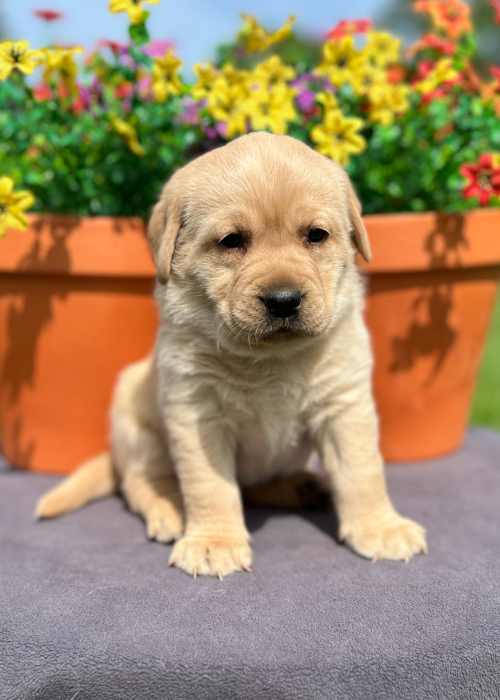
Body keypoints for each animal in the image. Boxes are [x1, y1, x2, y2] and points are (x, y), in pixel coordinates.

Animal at [36, 132, 427, 577]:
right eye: (232, 241)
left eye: (316, 235)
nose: (283, 300)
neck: (271, 359)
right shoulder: (198, 414)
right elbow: (210, 486)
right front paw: (214, 542)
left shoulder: (344, 404)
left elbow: (363, 471)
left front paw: (381, 527)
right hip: (136, 426)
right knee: (142, 482)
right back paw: (170, 509)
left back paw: (299, 487)